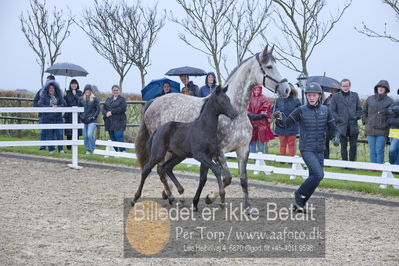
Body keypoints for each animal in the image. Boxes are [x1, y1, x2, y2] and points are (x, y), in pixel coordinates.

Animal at [135, 45, 290, 208]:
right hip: (161, 150)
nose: (286, 89)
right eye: (269, 66)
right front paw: (210, 198)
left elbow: (243, 180)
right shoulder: (218, 152)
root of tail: (153, 101)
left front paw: (247, 207)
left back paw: (172, 195)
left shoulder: (242, 150)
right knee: (160, 169)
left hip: (173, 151)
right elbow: (226, 178)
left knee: (164, 169)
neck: (236, 114)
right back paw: (172, 197)